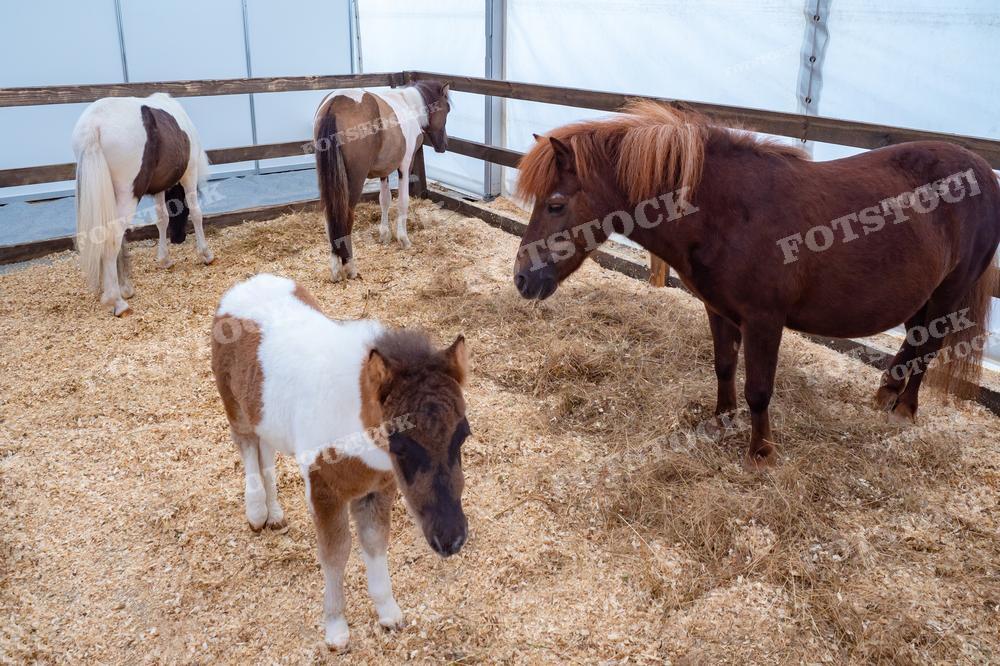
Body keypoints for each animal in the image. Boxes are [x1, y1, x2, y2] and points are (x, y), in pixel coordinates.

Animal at [72, 93, 214, 317]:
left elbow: (162, 219)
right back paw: (117, 301)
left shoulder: (159, 187)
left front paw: (164, 259)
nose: (178, 238)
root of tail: (94, 123)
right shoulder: (189, 173)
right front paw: (206, 254)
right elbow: (196, 212)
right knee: (112, 238)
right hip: (128, 195)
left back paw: (123, 290)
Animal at [211, 274, 471, 650]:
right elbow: (335, 553)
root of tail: (246, 284)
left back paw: (275, 515)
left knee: (266, 454)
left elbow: (374, 542)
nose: (450, 539)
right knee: (247, 451)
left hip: (265, 416)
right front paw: (335, 629)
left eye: (463, 435)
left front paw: (388, 613)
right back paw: (257, 512)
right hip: (235, 408)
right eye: (400, 445)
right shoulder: (324, 490)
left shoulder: (378, 488)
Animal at [313, 80, 451, 282]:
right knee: (345, 216)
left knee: (329, 217)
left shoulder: (383, 171)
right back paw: (349, 267)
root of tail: (335, 104)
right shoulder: (405, 165)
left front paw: (385, 235)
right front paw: (403, 239)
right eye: (447, 109)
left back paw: (335, 269)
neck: (409, 105)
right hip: (354, 181)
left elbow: (384, 200)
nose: (444, 145)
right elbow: (402, 201)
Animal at [512, 100, 999, 469]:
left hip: (950, 291)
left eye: (555, 204)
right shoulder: (718, 309)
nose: (521, 278)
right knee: (915, 336)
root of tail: (982, 171)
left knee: (931, 343)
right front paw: (720, 421)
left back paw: (905, 409)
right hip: (922, 292)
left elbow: (759, 389)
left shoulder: (764, 321)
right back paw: (887, 393)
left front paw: (760, 452)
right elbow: (724, 367)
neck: (727, 213)